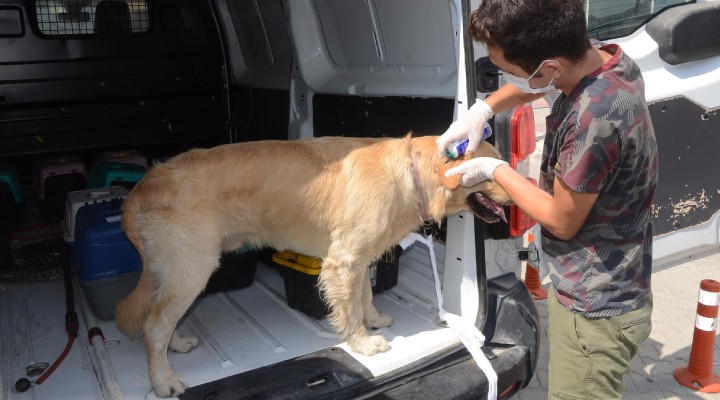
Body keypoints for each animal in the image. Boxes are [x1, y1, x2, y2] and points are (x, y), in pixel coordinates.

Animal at [115, 134, 512, 396]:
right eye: (491, 170)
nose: (518, 189)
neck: (410, 173)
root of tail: (142, 187)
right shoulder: (343, 260)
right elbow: (349, 307)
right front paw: (363, 343)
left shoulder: (358, 255)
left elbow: (365, 294)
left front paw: (373, 320)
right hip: (193, 269)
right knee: (153, 326)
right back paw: (164, 380)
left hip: (175, 272)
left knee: (161, 319)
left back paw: (178, 344)